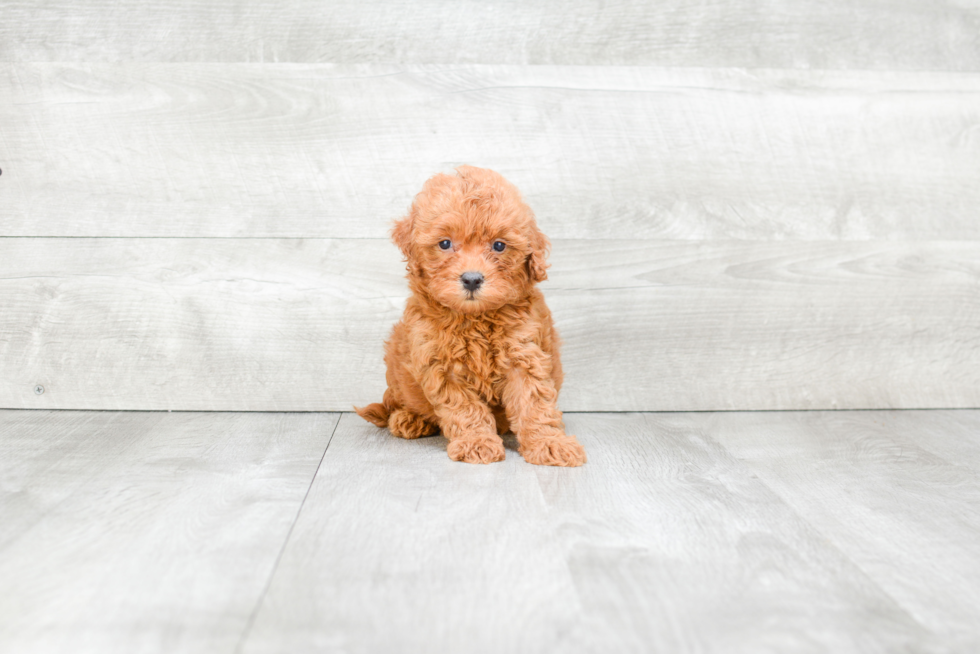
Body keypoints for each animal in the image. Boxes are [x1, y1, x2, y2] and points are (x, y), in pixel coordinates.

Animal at [356, 167, 584, 468]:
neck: (475, 318)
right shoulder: (441, 365)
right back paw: (410, 418)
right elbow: (464, 407)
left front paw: (549, 443)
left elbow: (533, 404)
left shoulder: (524, 356)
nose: (472, 279)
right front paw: (477, 442)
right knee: (398, 400)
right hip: (396, 365)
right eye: (445, 243)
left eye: (499, 245)